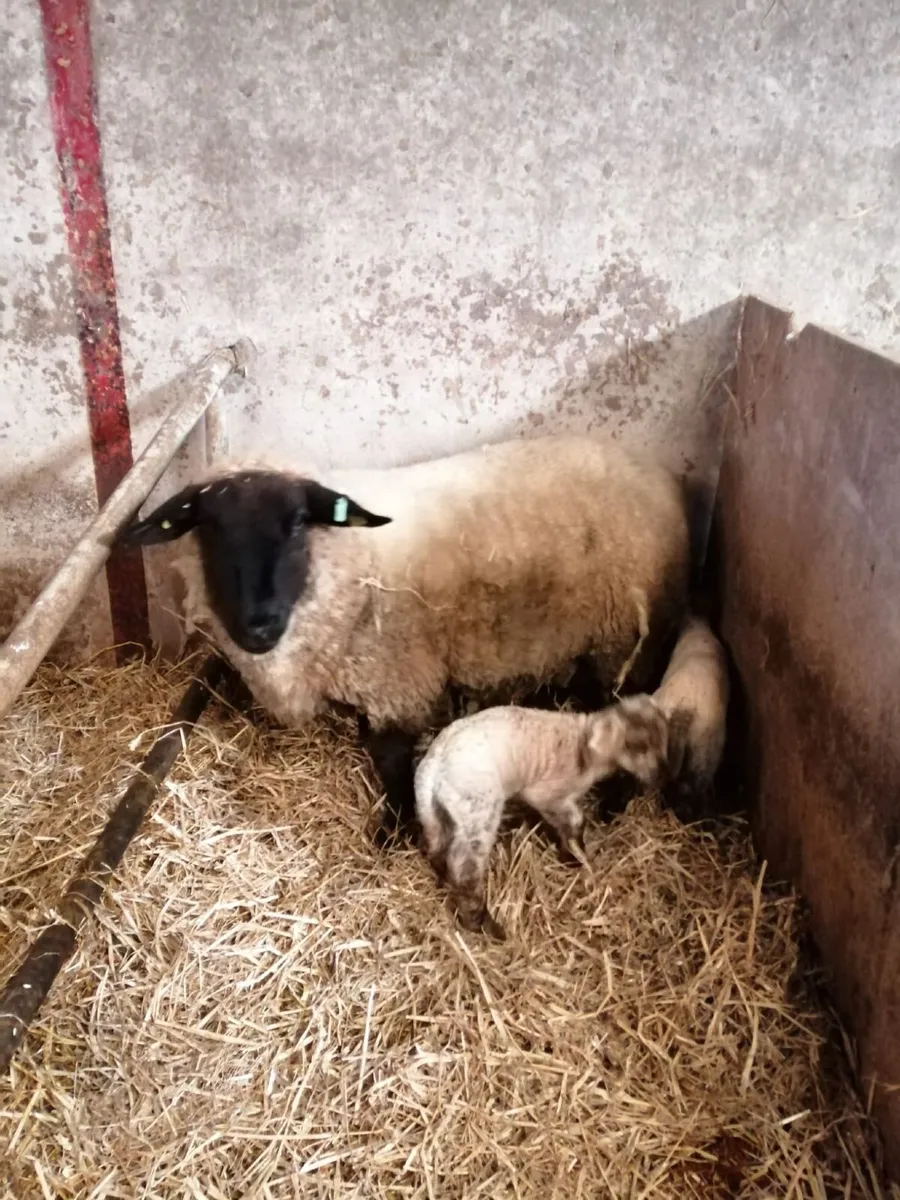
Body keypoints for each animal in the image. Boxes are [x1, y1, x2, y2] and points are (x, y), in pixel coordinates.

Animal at [118, 434, 691, 846]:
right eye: (208, 528)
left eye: (299, 522)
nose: (257, 624)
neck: (348, 560)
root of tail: (662, 476)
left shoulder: (396, 680)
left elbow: (391, 761)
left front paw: (395, 831)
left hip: (625, 644)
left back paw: (613, 805)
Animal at [414, 695, 670, 939]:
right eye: (636, 745)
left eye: (662, 740)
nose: (660, 775)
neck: (584, 749)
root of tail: (434, 767)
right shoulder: (545, 794)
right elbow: (574, 821)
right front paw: (574, 855)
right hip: (478, 810)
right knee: (464, 870)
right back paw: (483, 925)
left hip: (434, 814)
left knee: (437, 849)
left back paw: (443, 882)